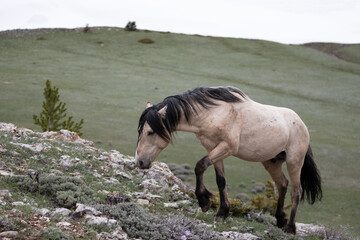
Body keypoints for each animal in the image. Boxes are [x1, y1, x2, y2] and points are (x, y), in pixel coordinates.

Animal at [136, 86, 322, 234]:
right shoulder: (213, 148)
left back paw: (290, 227)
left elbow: (199, 166)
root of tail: (301, 124)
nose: (140, 162)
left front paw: (204, 201)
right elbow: (220, 180)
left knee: (296, 192)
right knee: (282, 184)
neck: (214, 112)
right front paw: (222, 212)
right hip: (271, 161)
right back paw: (280, 219)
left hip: (294, 162)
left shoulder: (227, 147)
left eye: (150, 132)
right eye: (140, 131)